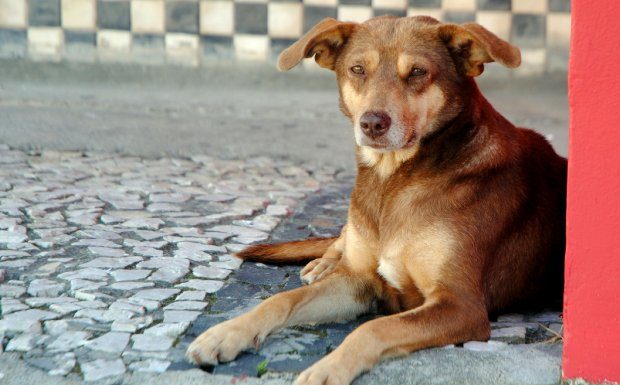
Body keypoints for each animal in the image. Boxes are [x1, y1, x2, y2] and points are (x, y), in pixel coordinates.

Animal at [185, 15, 568, 384]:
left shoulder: (461, 304)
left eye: (417, 72)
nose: (372, 123)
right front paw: (226, 333)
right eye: (357, 69)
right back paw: (323, 263)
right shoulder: (358, 281)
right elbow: (282, 300)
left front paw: (329, 368)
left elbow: (374, 328)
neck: (392, 179)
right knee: (340, 239)